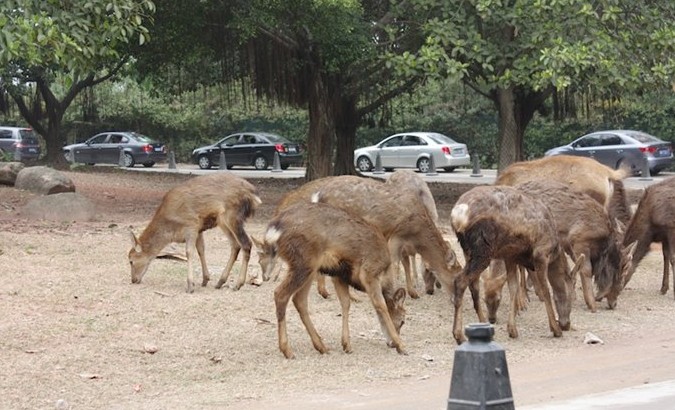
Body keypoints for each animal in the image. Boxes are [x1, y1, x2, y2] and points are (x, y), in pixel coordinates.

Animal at [127, 171, 262, 294]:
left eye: (131, 260)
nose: (133, 280)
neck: (171, 229)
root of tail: (254, 195)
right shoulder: (199, 229)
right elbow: (201, 250)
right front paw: (205, 279)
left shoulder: (191, 225)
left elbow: (189, 252)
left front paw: (190, 286)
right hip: (222, 221)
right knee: (235, 245)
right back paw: (220, 282)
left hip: (232, 215)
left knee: (246, 244)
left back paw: (238, 284)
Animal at [255, 202, 406, 358]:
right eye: (402, 321)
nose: (390, 344)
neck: (385, 271)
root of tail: (274, 229)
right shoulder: (369, 271)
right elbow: (380, 305)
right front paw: (401, 345)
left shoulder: (339, 275)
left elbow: (345, 303)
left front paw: (346, 344)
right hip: (304, 261)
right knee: (281, 294)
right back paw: (287, 350)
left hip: (311, 267)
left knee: (299, 299)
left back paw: (321, 346)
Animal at [452, 185, 584, 342]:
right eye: (571, 297)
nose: (566, 324)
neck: (555, 250)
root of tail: (457, 214)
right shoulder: (541, 254)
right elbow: (546, 291)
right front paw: (555, 329)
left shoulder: (510, 256)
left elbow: (513, 288)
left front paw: (512, 329)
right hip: (482, 248)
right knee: (460, 281)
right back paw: (458, 335)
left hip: (468, 252)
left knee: (473, 285)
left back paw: (482, 324)